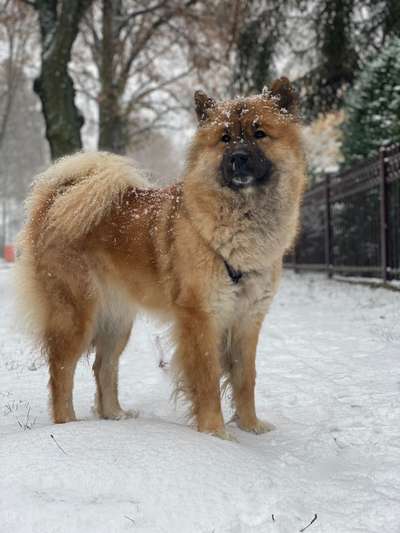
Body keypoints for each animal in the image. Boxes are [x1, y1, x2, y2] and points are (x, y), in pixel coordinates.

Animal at [14, 77, 304, 438]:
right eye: (224, 138)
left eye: (259, 133)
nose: (237, 158)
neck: (242, 219)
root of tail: (56, 199)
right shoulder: (200, 317)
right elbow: (208, 380)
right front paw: (215, 434)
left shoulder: (248, 319)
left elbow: (245, 378)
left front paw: (251, 426)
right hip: (76, 313)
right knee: (61, 369)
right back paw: (68, 424)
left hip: (117, 319)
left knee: (104, 366)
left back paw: (115, 416)